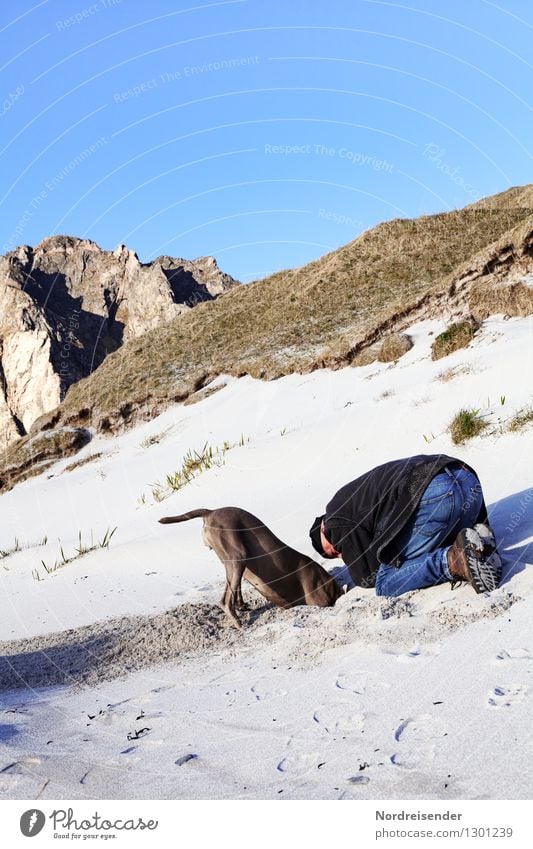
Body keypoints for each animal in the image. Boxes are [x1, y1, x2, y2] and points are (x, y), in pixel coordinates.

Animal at [158, 506, 340, 628]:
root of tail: (210, 511)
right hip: (237, 554)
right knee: (225, 601)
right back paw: (238, 621)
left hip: (230, 560)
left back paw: (241, 606)